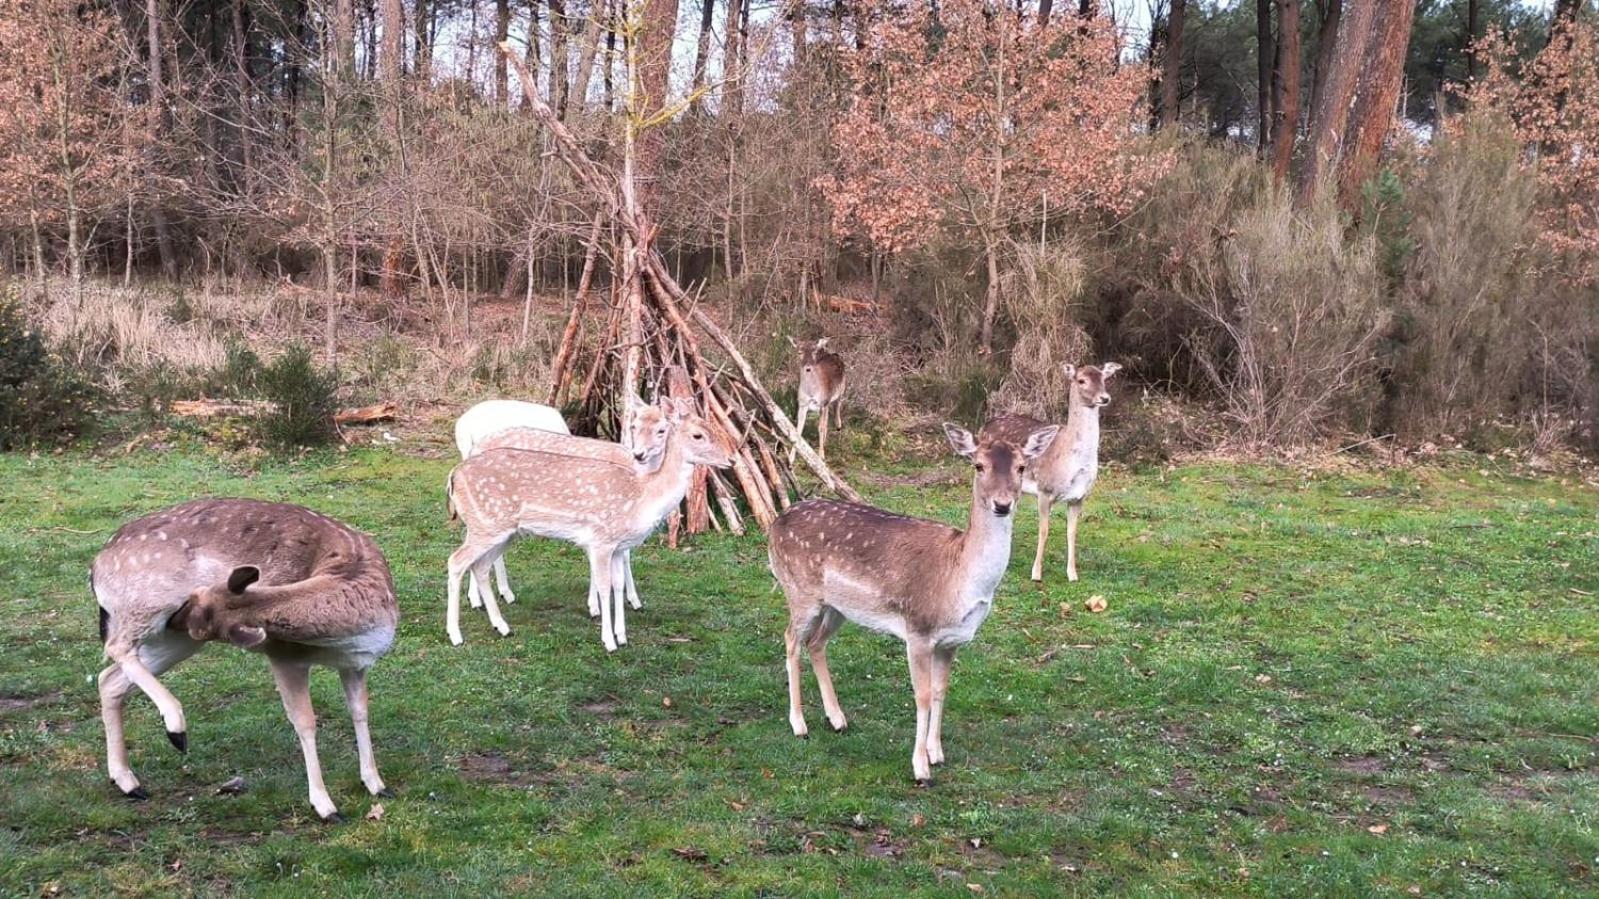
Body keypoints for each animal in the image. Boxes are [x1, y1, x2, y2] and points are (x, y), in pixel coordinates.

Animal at [90, 495, 399, 819]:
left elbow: (360, 711)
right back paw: (176, 731)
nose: (177, 617)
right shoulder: (284, 653)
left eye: (196, 603)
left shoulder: (355, 663)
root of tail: (95, 567)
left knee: (109, 679)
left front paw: (377, 784)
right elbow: (305, 721)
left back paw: (129, 783)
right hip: (144, 607)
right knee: (115, 647)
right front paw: (325, 806)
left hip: (178, 640)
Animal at [444, 395, 732, 646]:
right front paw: (608, 639)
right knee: (456, 561)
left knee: (480, 566)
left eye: (712, 427)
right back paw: (456, 634)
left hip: (503, 531)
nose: (730, 458)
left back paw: (502, 625)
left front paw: (622, 635)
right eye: (698, 435)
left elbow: (617, 585)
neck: (642, 494)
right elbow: (604, 586)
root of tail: (453, 476)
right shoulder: (601, 539)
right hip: (486, 523)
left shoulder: (618, 546)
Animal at [770, 419, 1061, 777]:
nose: (1002, 504)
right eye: (978, 465)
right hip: (799, 590)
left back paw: (837, 719)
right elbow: (921, 695)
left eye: (1021, 467)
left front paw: (937, 753)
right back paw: (799, 724)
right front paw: (921, 769)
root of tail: (774, 523)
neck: (959, 580)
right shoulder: (918, 630)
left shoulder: (952, 640)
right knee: (790, 640)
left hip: (837, 607)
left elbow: (940, 690)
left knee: (816, 643)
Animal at [972, 358, 1125, 582]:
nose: (1104, 398)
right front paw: (1036, 573)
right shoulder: (1044, 489)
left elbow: (1072, 532)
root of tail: (984, 425)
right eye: (1081, 380)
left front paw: (1072, 574)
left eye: (1104, 378)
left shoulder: (1079, 496)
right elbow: (1044, 530)